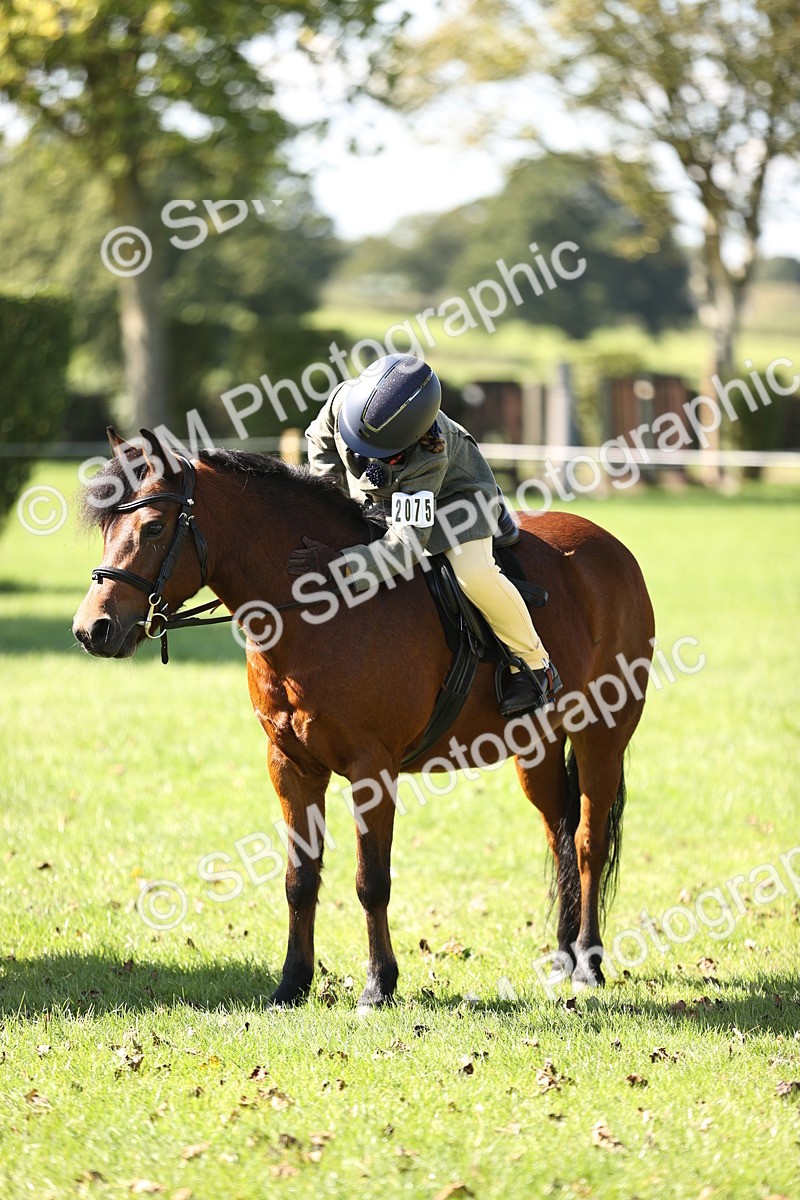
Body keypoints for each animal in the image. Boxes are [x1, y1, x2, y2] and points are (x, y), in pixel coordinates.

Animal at [73, 429, 655, 1008]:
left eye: (152, 527)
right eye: (106, 527)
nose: (92, 629)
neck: (315, 610)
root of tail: (611, 548)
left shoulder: (372, 769)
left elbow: (371, 881)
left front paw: (379, 984)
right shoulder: (291, 766)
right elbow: (299, 879)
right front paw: (292, 982)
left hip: (602, 737)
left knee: (588, 842)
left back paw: (589, 963)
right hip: (536, 749)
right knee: (560, 834)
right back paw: (563, 957)